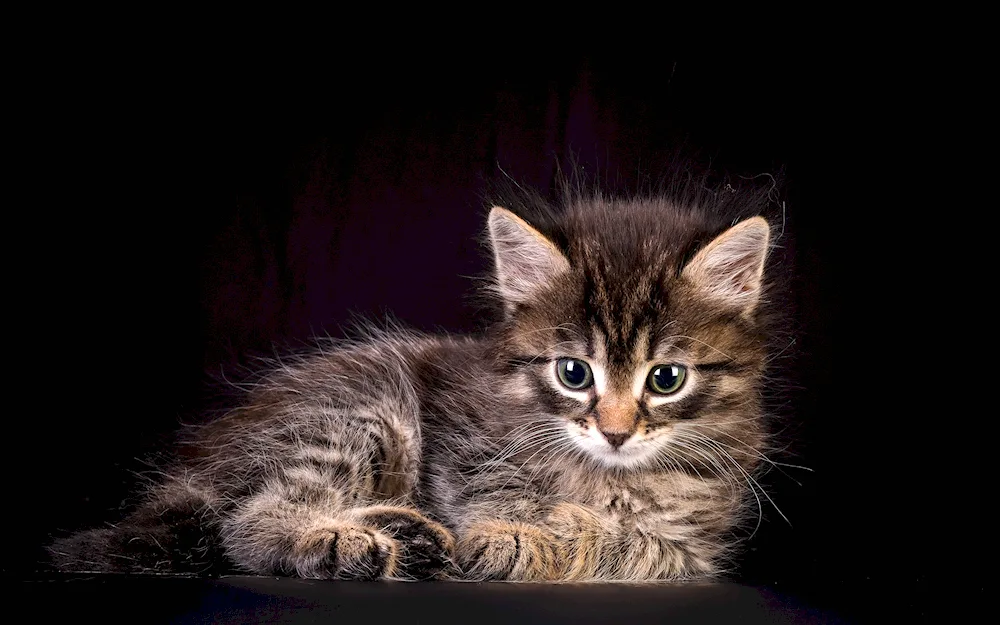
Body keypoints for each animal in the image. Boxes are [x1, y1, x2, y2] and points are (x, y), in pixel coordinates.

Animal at [50, 176, 784, 580]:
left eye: (666, 378)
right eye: (574, 373)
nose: (616, 432)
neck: (605, 474)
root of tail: (190, 471)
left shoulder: (691, 542)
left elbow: (628, 539)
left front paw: (542, 535)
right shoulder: (469, 450)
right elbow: (508, 500)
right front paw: (514, 533)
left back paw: (406, 532)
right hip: (359, 418)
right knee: (246, 523)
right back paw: (344, 541)